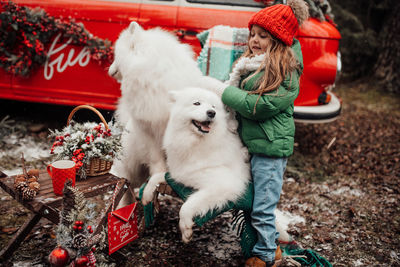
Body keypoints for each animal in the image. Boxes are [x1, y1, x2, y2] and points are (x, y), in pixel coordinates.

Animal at [107, 22, 225, 195]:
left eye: (116, 55)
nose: (109, 71)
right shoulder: (149, 131)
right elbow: (157, 161)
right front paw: (157, 177)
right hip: (129, 163)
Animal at [143, 88, 250, 245]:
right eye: (197, 103)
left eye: (213, 106)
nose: (212, 113)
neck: (194, 143)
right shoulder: (179, 174)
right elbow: (156, 177)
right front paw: (146, 196)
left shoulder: (225, 184)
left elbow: (187, 205)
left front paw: (185, 229)